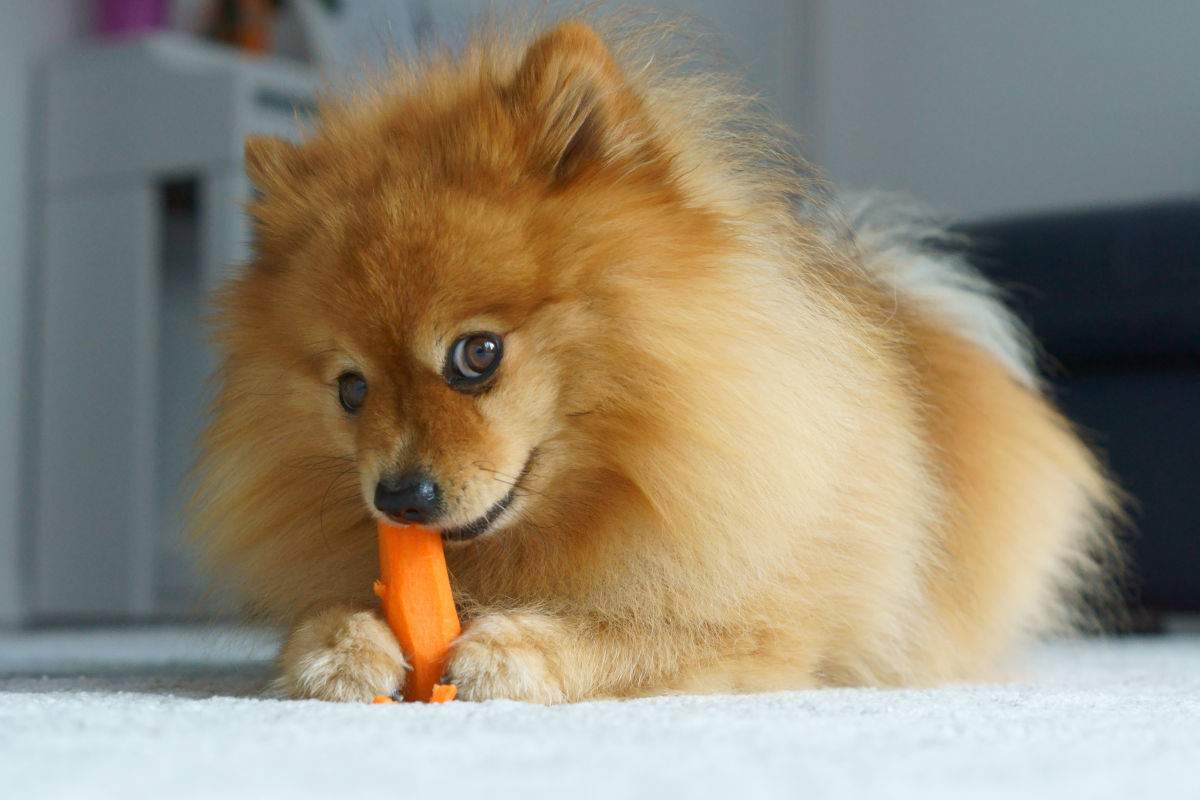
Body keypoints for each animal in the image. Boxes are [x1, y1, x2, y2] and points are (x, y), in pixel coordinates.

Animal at [192, 12, 1118, 700]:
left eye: (476, 355)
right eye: (350, 391)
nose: (399, 499)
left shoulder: (763, 629)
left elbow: (644, 634)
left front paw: (520, 649)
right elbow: (313, 623)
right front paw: (341, 645)